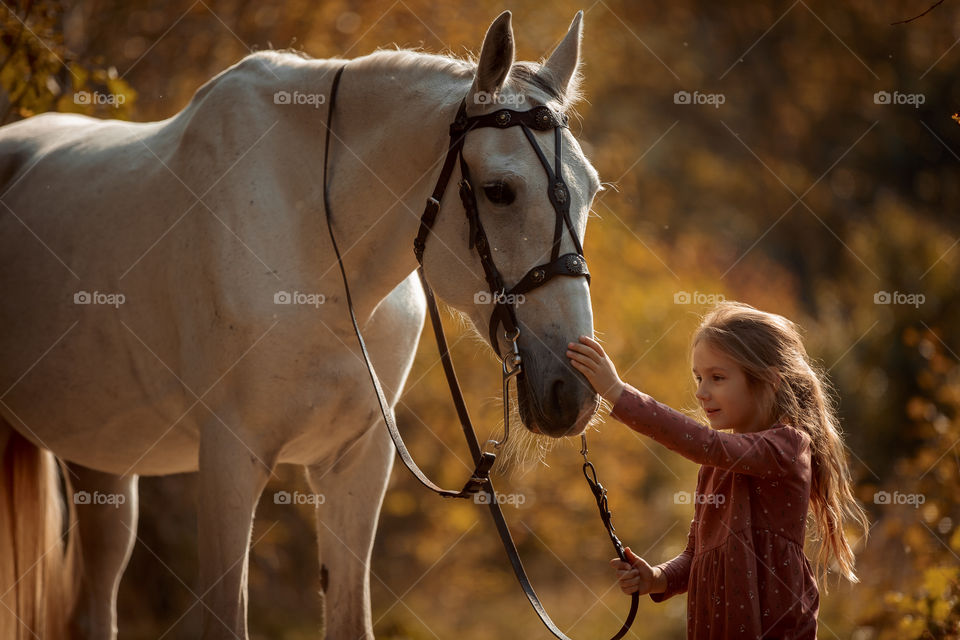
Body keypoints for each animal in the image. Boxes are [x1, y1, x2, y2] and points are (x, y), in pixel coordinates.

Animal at [0, 10, 601, 639]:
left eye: (591, 190)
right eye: (499, 191)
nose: (575, 389)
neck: (319, 250)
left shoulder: (356, 463)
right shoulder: (230, 457)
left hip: (104, 468)